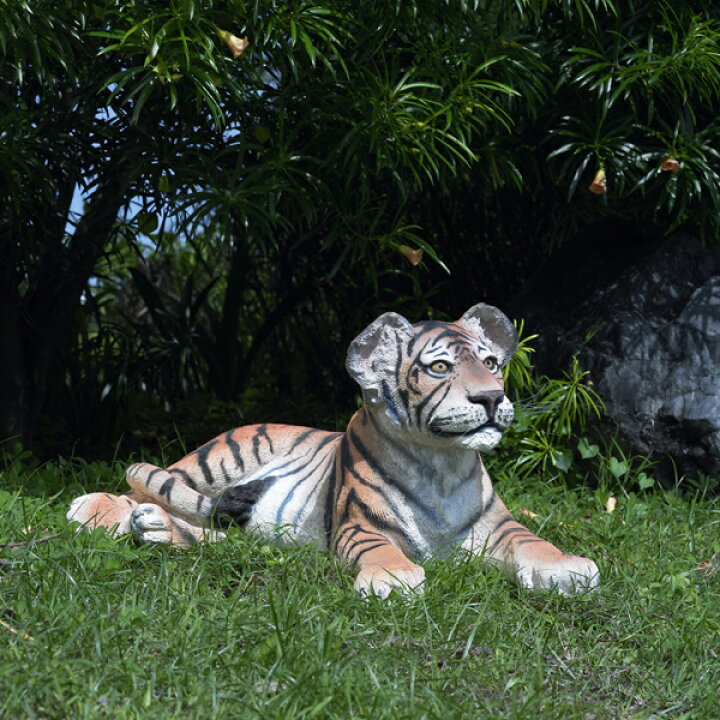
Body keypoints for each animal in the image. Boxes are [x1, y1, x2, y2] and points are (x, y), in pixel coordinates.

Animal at [67, 303, 599, 597]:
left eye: (490, 363)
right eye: (440, 367)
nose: (491, 397)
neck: (441, 465)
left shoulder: (499, 526)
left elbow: (535, 542)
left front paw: (569, 569)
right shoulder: (360, 525)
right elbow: (380, 551)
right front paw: (394, 581)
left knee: (223, 538)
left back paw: (157, 530)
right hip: (219, 457)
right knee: (147, 487)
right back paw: (97, 510)